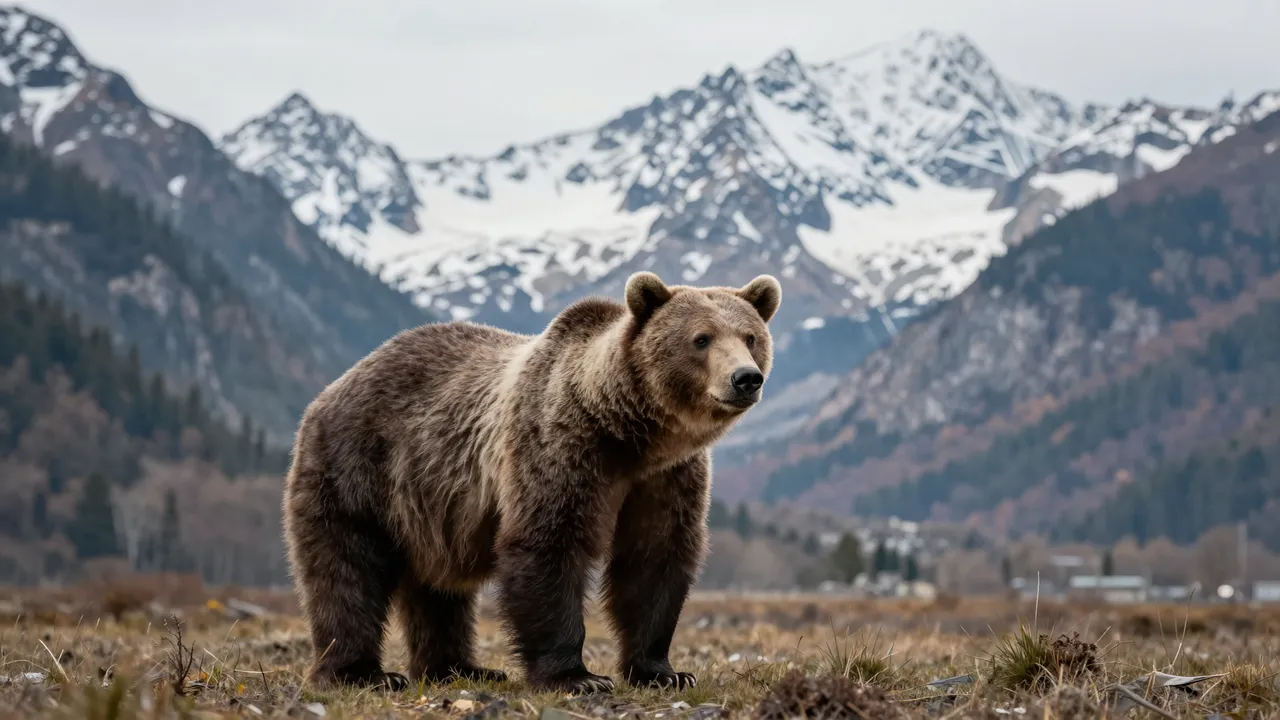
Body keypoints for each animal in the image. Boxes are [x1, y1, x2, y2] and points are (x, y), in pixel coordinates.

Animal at [280, 270, 781, 694]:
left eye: (750, 337)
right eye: (701, 339)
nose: (745, 378)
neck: (631, 435)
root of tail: (331, 390)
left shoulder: (665, 477)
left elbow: (654, 558)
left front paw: (664, 672)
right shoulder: (560, 445)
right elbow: (548, 542)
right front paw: (577, 677)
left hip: (429, 503)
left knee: (439, 587)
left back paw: (459, 668)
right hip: (356, 470)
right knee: (346, 571)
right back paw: (362, 674)